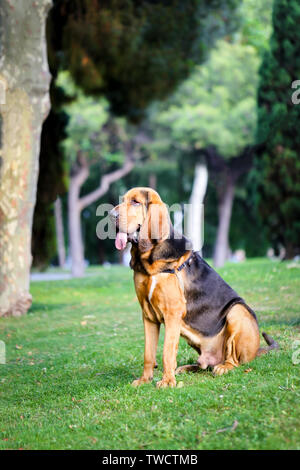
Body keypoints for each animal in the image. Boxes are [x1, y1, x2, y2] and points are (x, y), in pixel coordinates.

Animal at [110, 187, 278, 390]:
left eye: (135, 202)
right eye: (123, 200)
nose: (111, 215)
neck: (149, 260)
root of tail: (257, 349)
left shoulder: (172, 313)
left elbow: (167, 351)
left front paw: (167, 381)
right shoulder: (148, 316)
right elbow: (148, 354)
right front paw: (144, 380)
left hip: (237, 311)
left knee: (234, 360)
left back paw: (223, 367)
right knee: (204, 365)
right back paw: (186, 368)